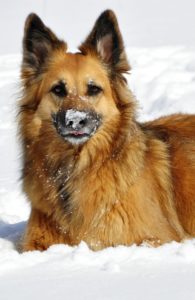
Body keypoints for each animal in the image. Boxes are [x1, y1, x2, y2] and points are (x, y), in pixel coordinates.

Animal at [18, 9, 195, 251]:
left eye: (93, 89)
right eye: (58, 89)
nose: (76, 120)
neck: (75, 168)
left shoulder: (154, 237)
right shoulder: (35, 243)